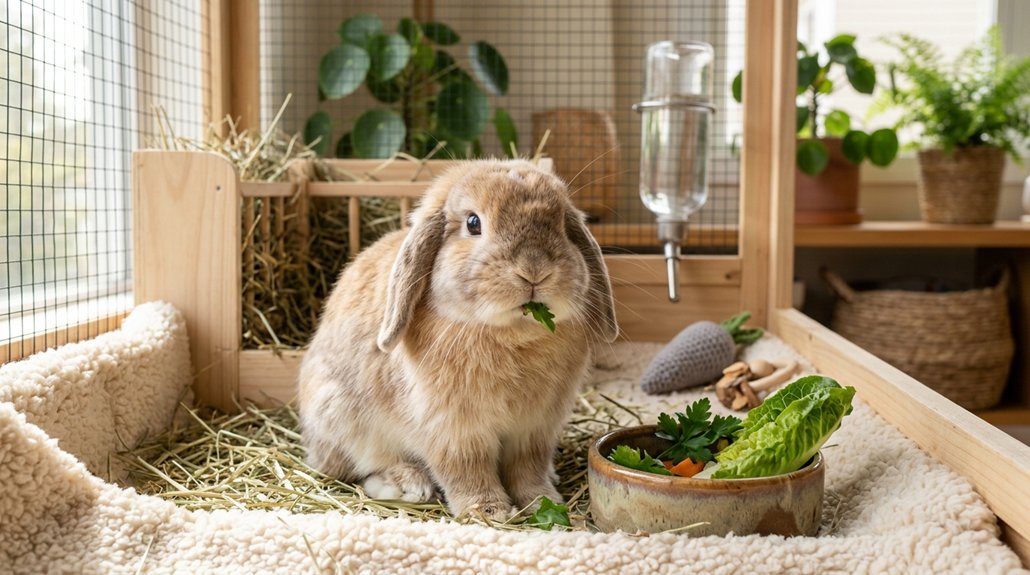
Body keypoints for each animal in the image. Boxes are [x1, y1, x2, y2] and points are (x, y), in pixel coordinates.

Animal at [297, 159, 618, 522]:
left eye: (563, 223)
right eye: (473, 223)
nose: (534, 270)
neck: (512, 335)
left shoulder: (535, 430)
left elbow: (527, 469)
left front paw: (542, 501)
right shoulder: (454, 431)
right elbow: (467, 470)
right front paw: (488, 511)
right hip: (341, 417)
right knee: (354, 468)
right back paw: (408, 484)